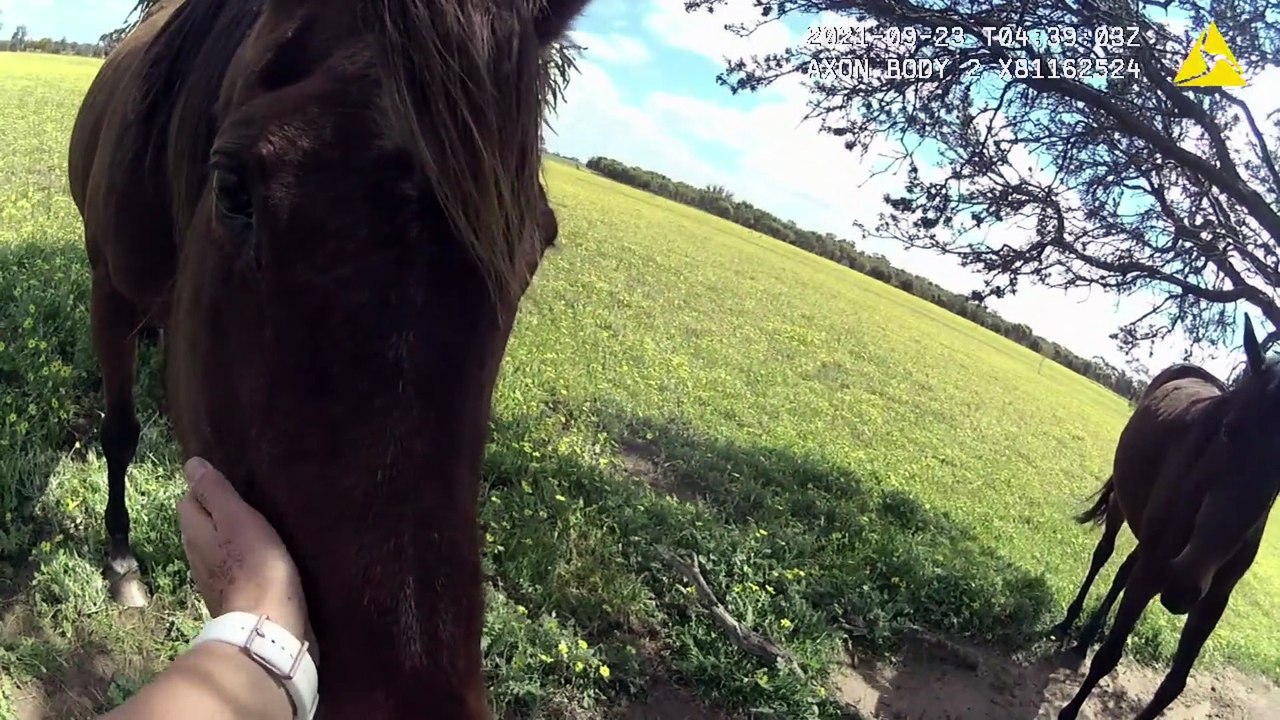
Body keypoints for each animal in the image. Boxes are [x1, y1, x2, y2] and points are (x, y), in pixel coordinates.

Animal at [66, 0, 592, 716]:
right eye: (232, 190)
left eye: (536, 245)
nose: (414, 703)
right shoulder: (110, 295)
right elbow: (119, 432)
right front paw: (122, 562)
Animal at [1049, 315, 1280, 720]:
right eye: (1227, 431)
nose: (1183, 584)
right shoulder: (1156, 568)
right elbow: (1110, 655)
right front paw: (1068, 711)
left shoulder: (1213, 599)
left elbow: (1172, 686)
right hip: (1122, 508)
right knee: (1104, 555)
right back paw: (1069, 624)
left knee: (1123, 570)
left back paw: (1084, 640)